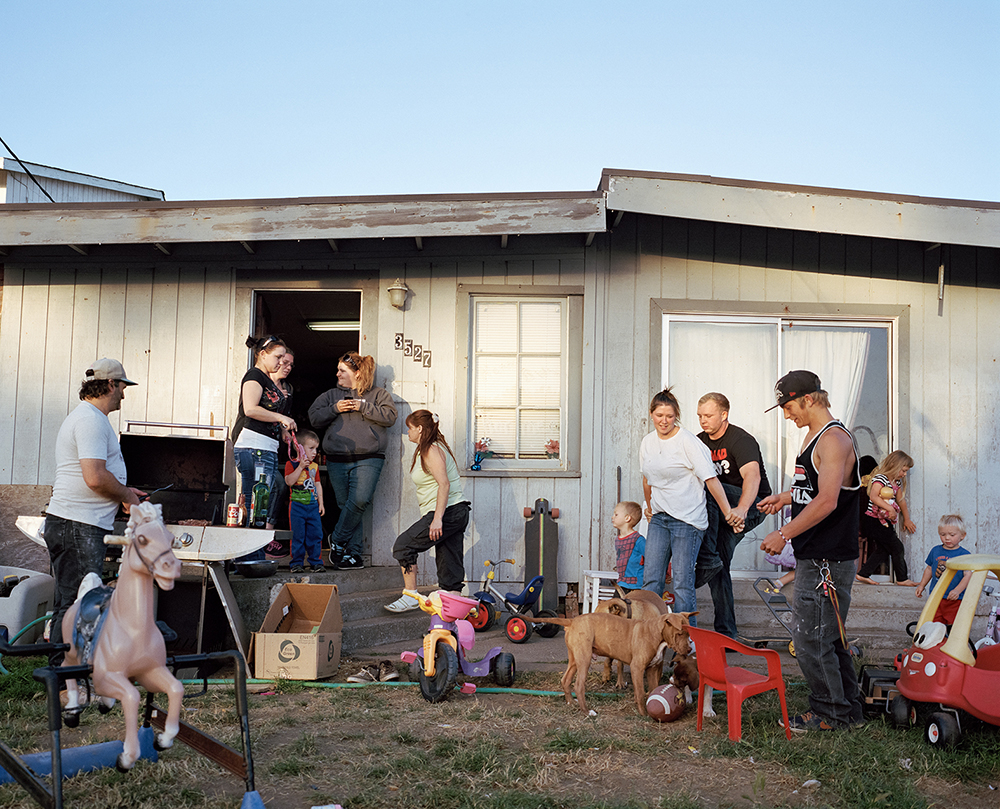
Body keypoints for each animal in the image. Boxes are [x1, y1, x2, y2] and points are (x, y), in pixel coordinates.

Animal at [532, 608, 696, 716]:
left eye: (689, 633)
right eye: (680, 633)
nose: (689, 649)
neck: (657, 634)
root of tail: (572, 620)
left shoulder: (652, 669)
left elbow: (653, 689)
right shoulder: (637, 668)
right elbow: (640, 693)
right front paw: (643, 714)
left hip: (574, 659)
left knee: (565, 680)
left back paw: (571, 703)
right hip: (584, 659)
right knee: (578, 685)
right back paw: (587, 711)